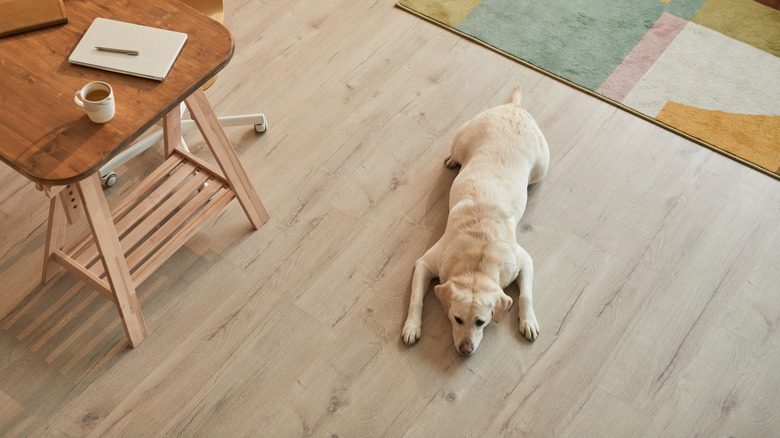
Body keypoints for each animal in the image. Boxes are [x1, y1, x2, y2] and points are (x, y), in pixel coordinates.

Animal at [402, 86, 548, 356]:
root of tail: (515, 107)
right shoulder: (425, 263)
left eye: (481, 322)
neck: (478, 257)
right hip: (462, 139)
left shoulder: (524, 260)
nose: (465, 349)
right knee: (455, 152)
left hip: (542, 167)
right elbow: (416, 298)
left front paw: (528, 321)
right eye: (457, 319)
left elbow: (526, 295)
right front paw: (411, 327)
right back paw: (452, 159)